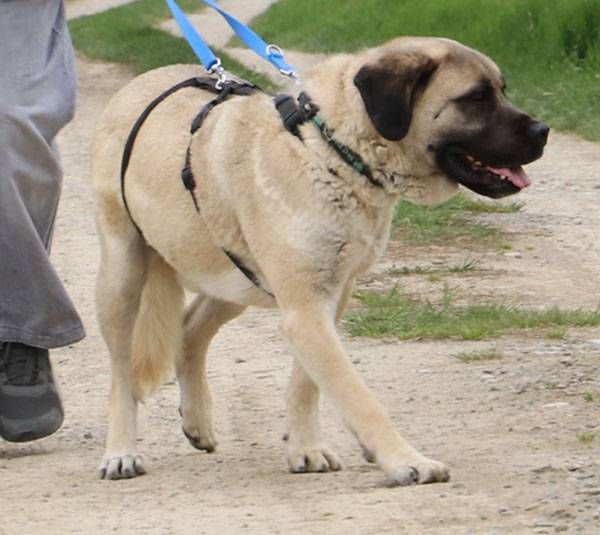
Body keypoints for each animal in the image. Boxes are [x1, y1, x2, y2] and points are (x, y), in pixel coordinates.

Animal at [91, 36, 548, 484]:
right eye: (475, 98)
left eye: (501, 90)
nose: (543, 131)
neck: (332, 150)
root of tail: (134, 87)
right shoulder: (305, 307)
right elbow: (354, 392)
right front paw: (405, 460)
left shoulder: (329, 296)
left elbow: (307, 383)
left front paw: (305, 449)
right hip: (123, 275)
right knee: (120, 371)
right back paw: (121, 452)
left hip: (234, 277)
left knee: (190, 329)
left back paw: (197, 421)